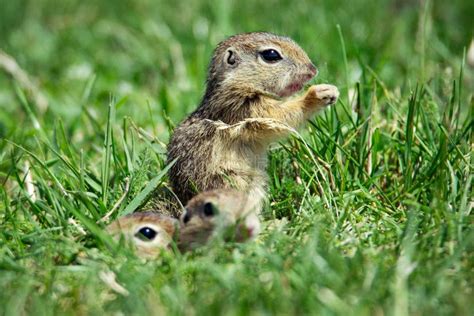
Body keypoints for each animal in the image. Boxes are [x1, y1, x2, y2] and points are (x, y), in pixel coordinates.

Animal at [168, 31, 338, 205]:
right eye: (271, 55)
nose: (313, 70)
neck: (238, 83)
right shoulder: (245, 109)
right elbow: (280, 116)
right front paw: (318, 94)